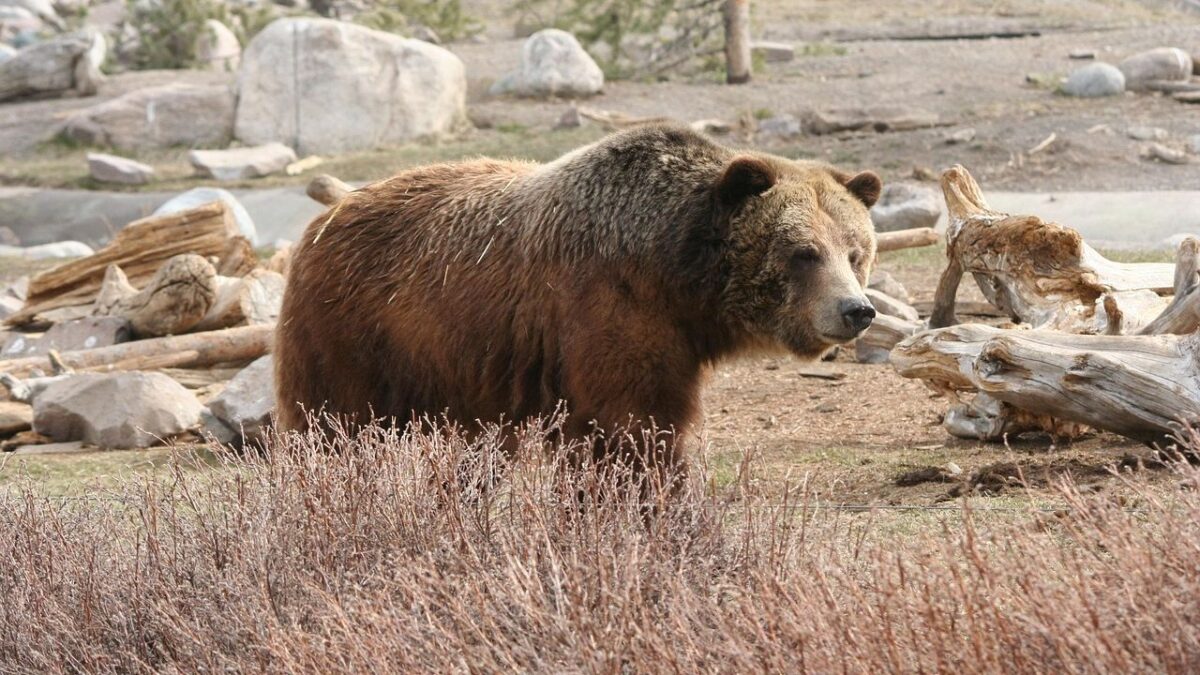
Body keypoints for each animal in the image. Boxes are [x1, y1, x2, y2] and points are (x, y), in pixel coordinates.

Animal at [275, 124, 880, 478]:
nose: (856, 310)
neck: (676, 274)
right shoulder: (608, 310)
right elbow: (633, 427)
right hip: (353, 335)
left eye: (855, 252)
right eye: (804, 252)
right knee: (331, 427)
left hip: (461, 380)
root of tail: (322, 221)